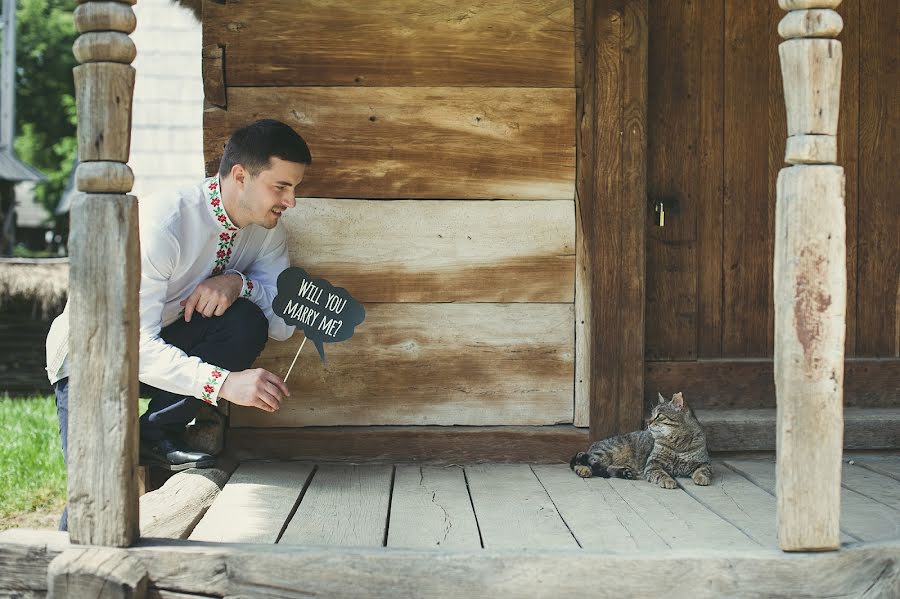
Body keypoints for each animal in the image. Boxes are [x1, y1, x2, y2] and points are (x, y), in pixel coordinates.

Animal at [568, 392, 712, 490]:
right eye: (652, 414)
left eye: (659, 416)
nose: (648, 422)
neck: (677, 444)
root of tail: (594, 444)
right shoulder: (653, 463)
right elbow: (661, 473)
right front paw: (668, 480)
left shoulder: (704, 462)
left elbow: (702, 470)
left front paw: (701, 478)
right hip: (607, 452)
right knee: (583, 461)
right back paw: (584, 469)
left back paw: (624, 472)